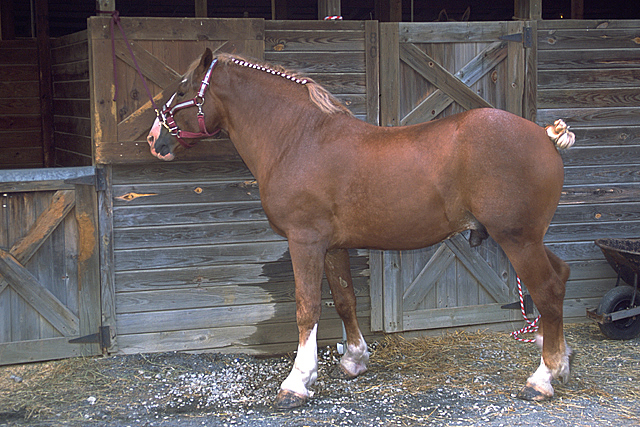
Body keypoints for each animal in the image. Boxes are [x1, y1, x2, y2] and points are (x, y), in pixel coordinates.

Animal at [149, 48, 576, 410]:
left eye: (182, 90)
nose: (155, 140)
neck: (299, 138)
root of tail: (545, 136)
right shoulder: (332, 246)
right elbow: (344, 300)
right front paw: (354, 360)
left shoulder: (304, 241)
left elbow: (307, 308)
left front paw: (297, 383)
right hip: (529, 238)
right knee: (560, 275)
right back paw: (559, 359)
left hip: (517, 239)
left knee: (547, 290)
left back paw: (542, 378)